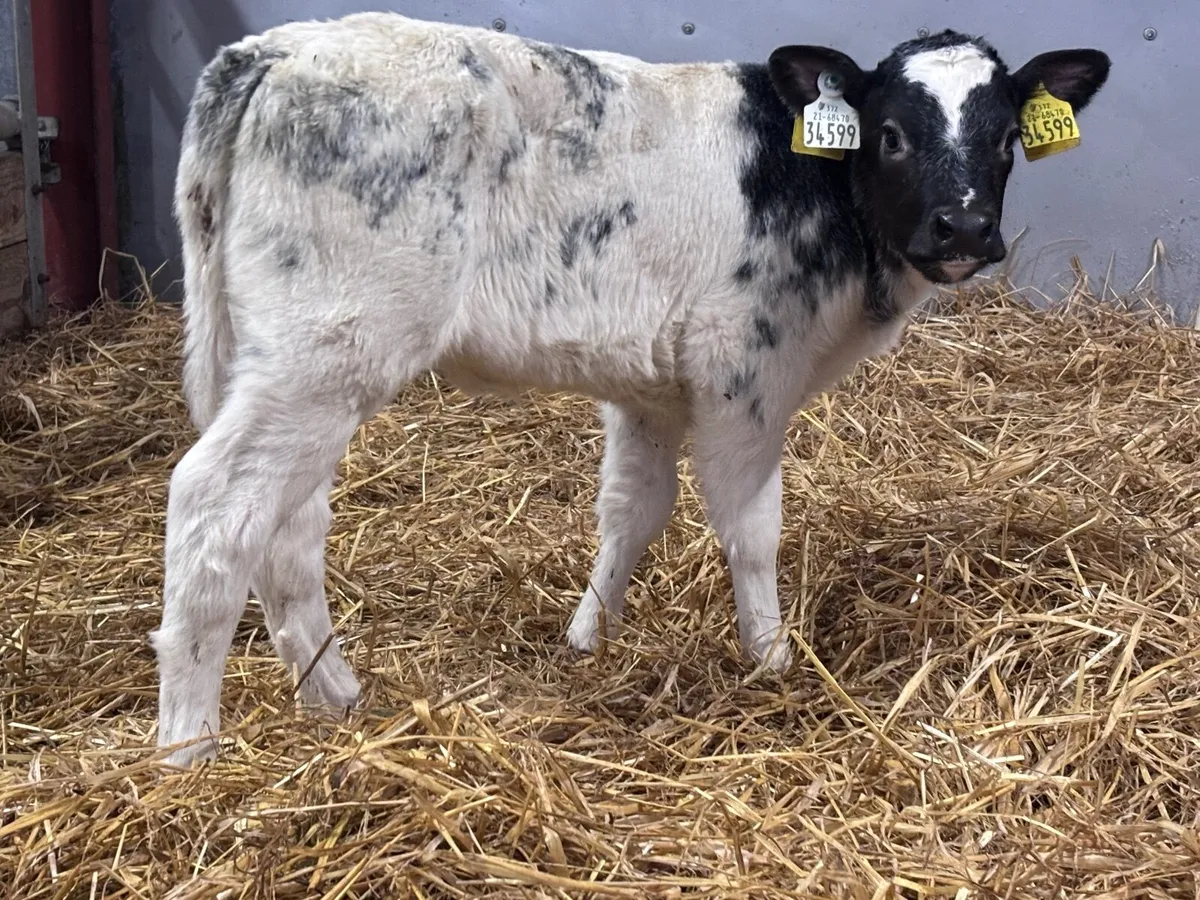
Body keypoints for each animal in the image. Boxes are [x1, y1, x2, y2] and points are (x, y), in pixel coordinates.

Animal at [150, 11, 1109, 764]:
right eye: (893, 134)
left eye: (1005, 137)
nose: (964, 228)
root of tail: (277, 47)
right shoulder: (744, 370)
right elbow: (752, 528)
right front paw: (771, 660)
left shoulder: (648, 386)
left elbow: (632, 511)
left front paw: (589, 638)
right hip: (326, 353)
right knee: (215, 503)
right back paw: (188, 747)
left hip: (294, 364)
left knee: (288, 527)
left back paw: (336, 697)